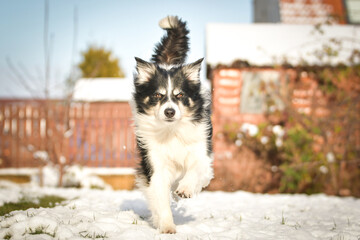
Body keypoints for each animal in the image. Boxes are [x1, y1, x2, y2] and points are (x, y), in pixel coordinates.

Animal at [131, 15, 212, 234]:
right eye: (158, 95)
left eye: (180, 95)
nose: (169, 111)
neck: (172, 130)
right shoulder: (155, 164)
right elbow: (160, 197)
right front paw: (167, 226)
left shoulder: (200, 151)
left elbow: (196, 168)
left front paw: (185, 189)